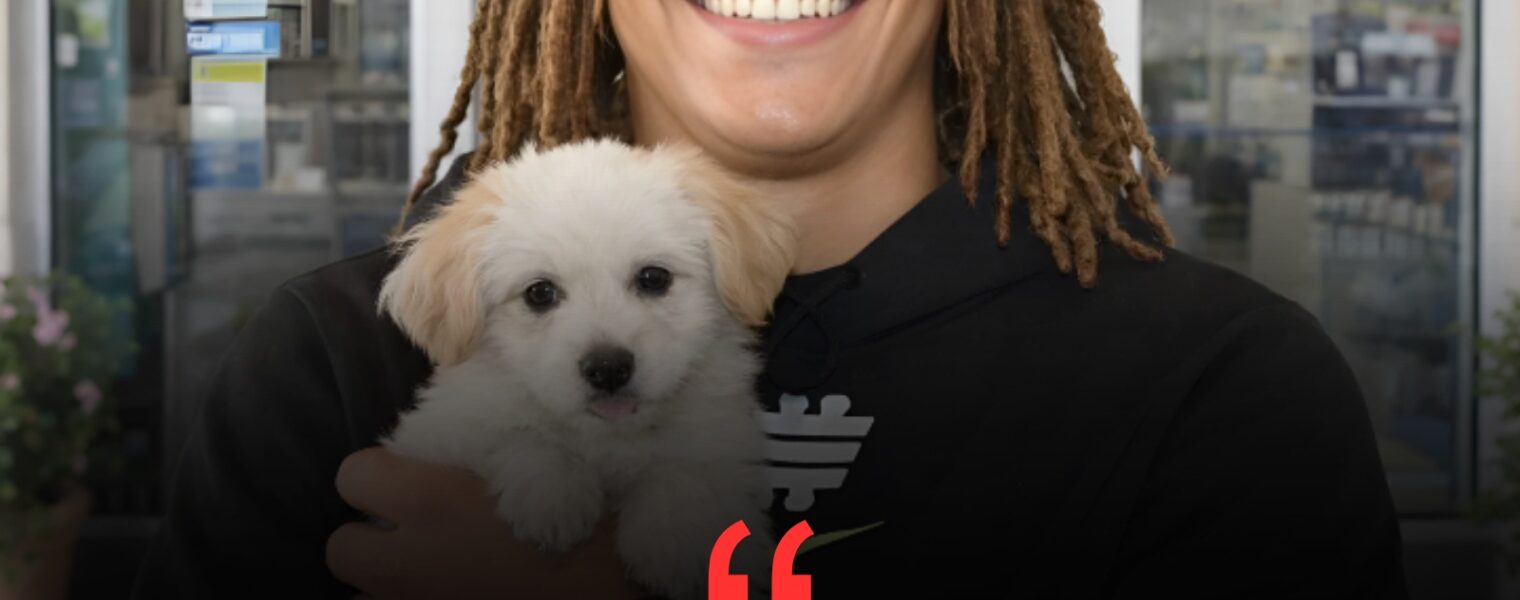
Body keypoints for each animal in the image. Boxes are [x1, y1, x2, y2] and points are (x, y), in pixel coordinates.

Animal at [377, 139, 795, 598]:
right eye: (539, 293)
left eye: (654, 277)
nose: (609, 369)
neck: (607, 438)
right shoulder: (442, 433)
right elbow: (521, 434)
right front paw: (552, 491)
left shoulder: (722, 446)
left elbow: (683, 470)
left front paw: (672, 538)